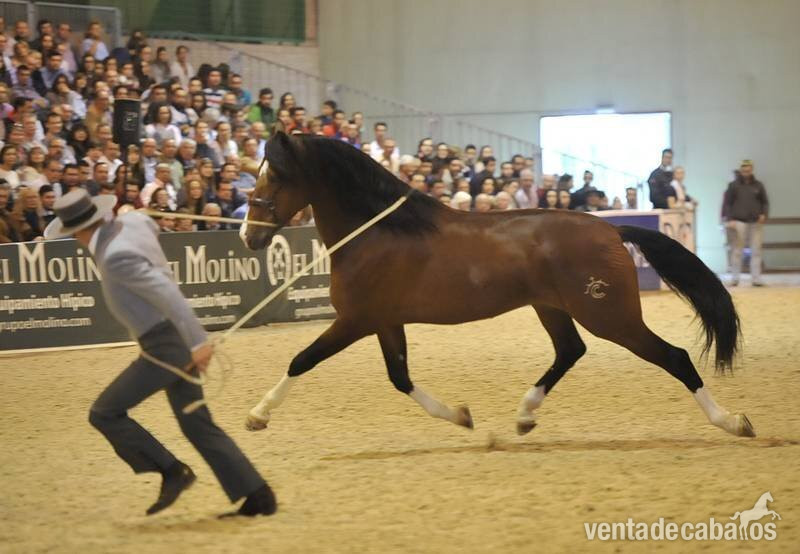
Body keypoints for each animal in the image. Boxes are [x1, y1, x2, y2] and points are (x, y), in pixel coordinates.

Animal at [240, 132, 755, 439]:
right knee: (570, 351)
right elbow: (400, 378)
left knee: (675, 357)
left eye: (275, 174)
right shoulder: (384, 322)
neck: (377, 232)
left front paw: (258, 414)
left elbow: (301, 360)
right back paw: (525, 414)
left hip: (610, 315)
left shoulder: (355, 321)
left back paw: (733, 422)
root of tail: (610, 229)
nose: (248, 235)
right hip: (553, 308)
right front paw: (462, 416)